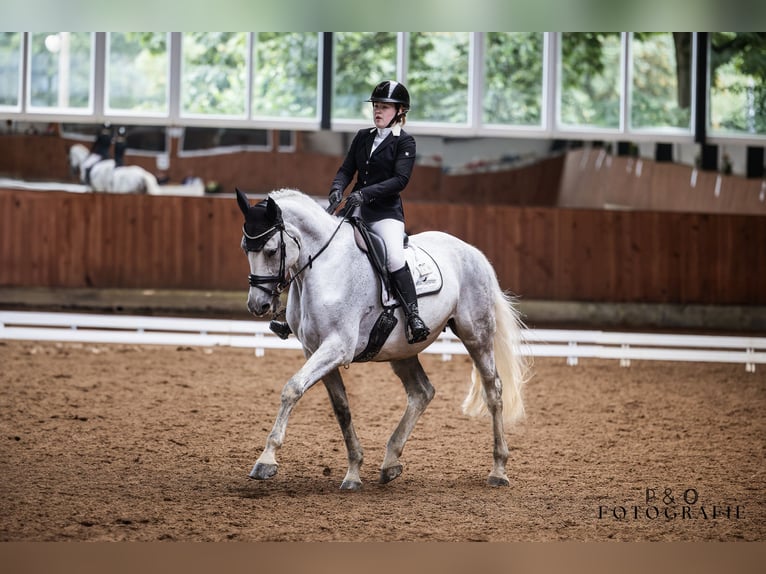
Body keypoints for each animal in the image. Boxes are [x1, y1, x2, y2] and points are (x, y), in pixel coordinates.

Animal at [237, 188, 532, 490]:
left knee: (493, 391)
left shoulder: (337, 347)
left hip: (476, 336)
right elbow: (341, 408)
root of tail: (474, 252)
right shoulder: (314, 350)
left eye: (272, 250)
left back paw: (498, 470)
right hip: (401, 349)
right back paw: (390, 463)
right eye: (245, 248)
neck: (324, 267)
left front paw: (266, 460)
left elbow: (292, 388)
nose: (257, 305)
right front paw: (353, 471)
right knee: (422, 392)